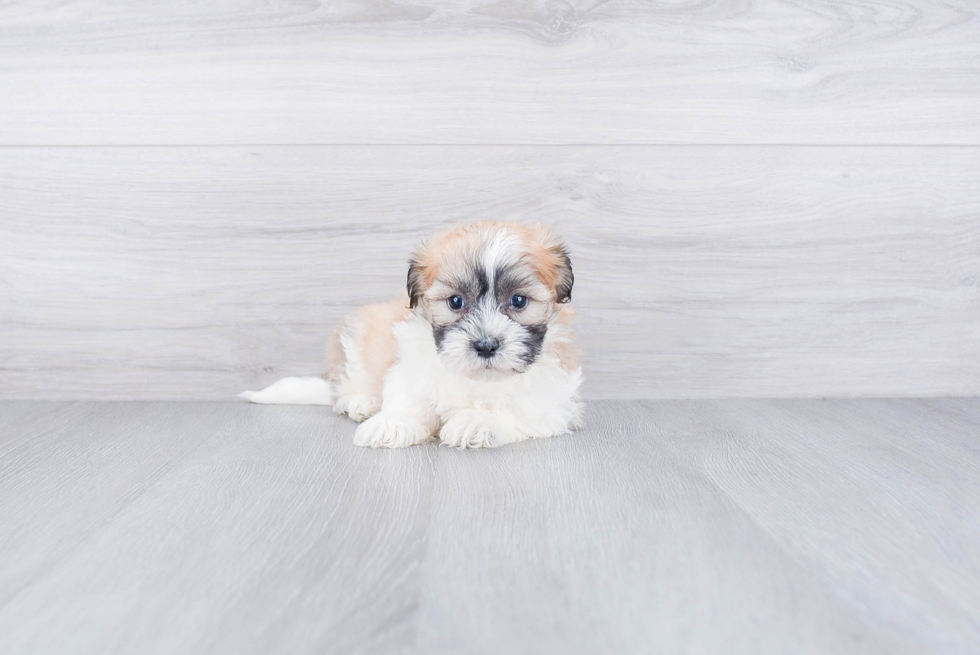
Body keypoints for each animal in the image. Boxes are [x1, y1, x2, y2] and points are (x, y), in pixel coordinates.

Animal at [242, 223, 584, 448]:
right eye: (455, 302)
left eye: (519, 301)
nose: (486, 346)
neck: (477, 378)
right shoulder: (410, 366)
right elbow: (407, 398)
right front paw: (390, 423)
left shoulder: (552, 399)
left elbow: (514, 409)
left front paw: (476, 422)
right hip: (356, 338)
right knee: (344, 387)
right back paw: (362, 402)